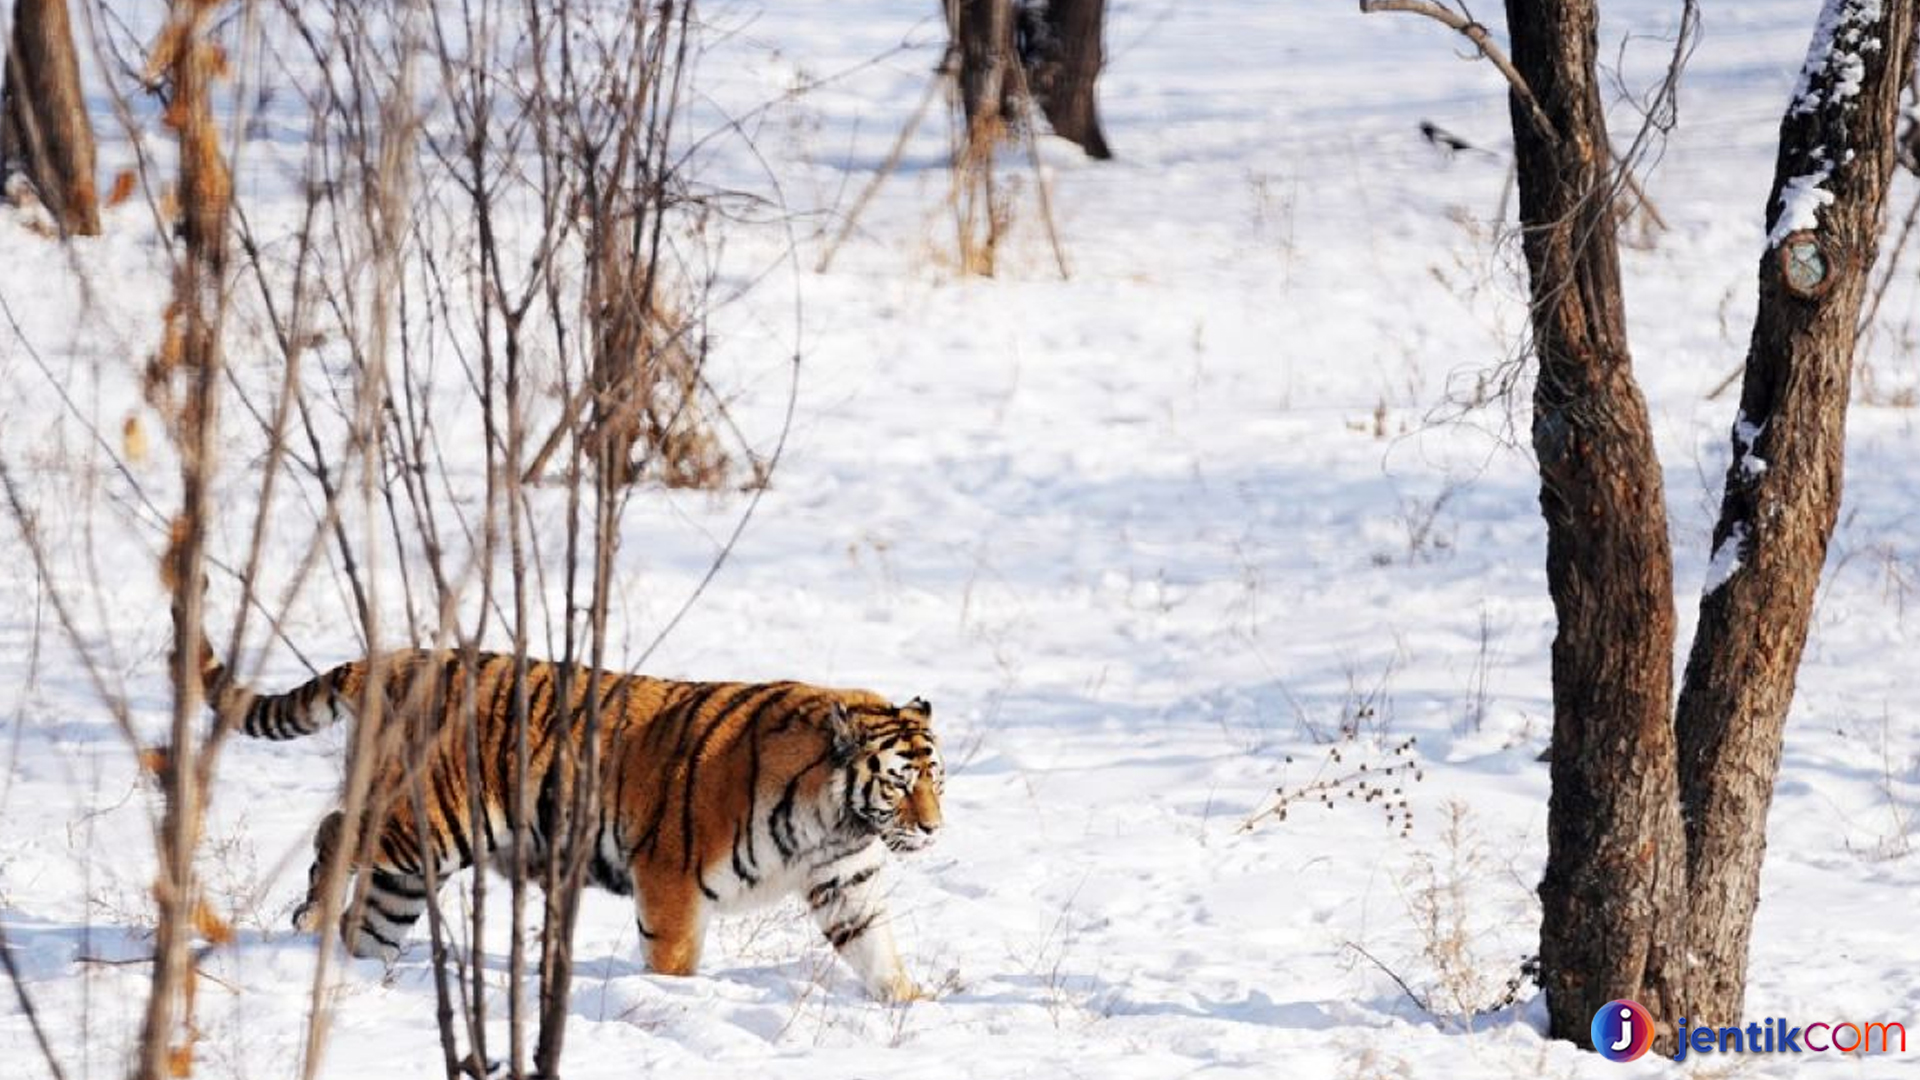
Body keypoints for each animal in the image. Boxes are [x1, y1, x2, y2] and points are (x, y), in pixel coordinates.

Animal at [198, 641, 940, 999]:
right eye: (901, 782)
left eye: (938, 780)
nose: (933, 828)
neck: (835, 819)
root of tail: (391, 658)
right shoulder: (670, 881)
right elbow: (672, 963)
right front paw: (673, 999)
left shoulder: (846, 884)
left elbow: (878, 953)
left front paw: (911, 1006)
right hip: (430, 823)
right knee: (333, 828)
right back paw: (310, 917)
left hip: (411, 869)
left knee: (371, 918)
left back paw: (358, 972)